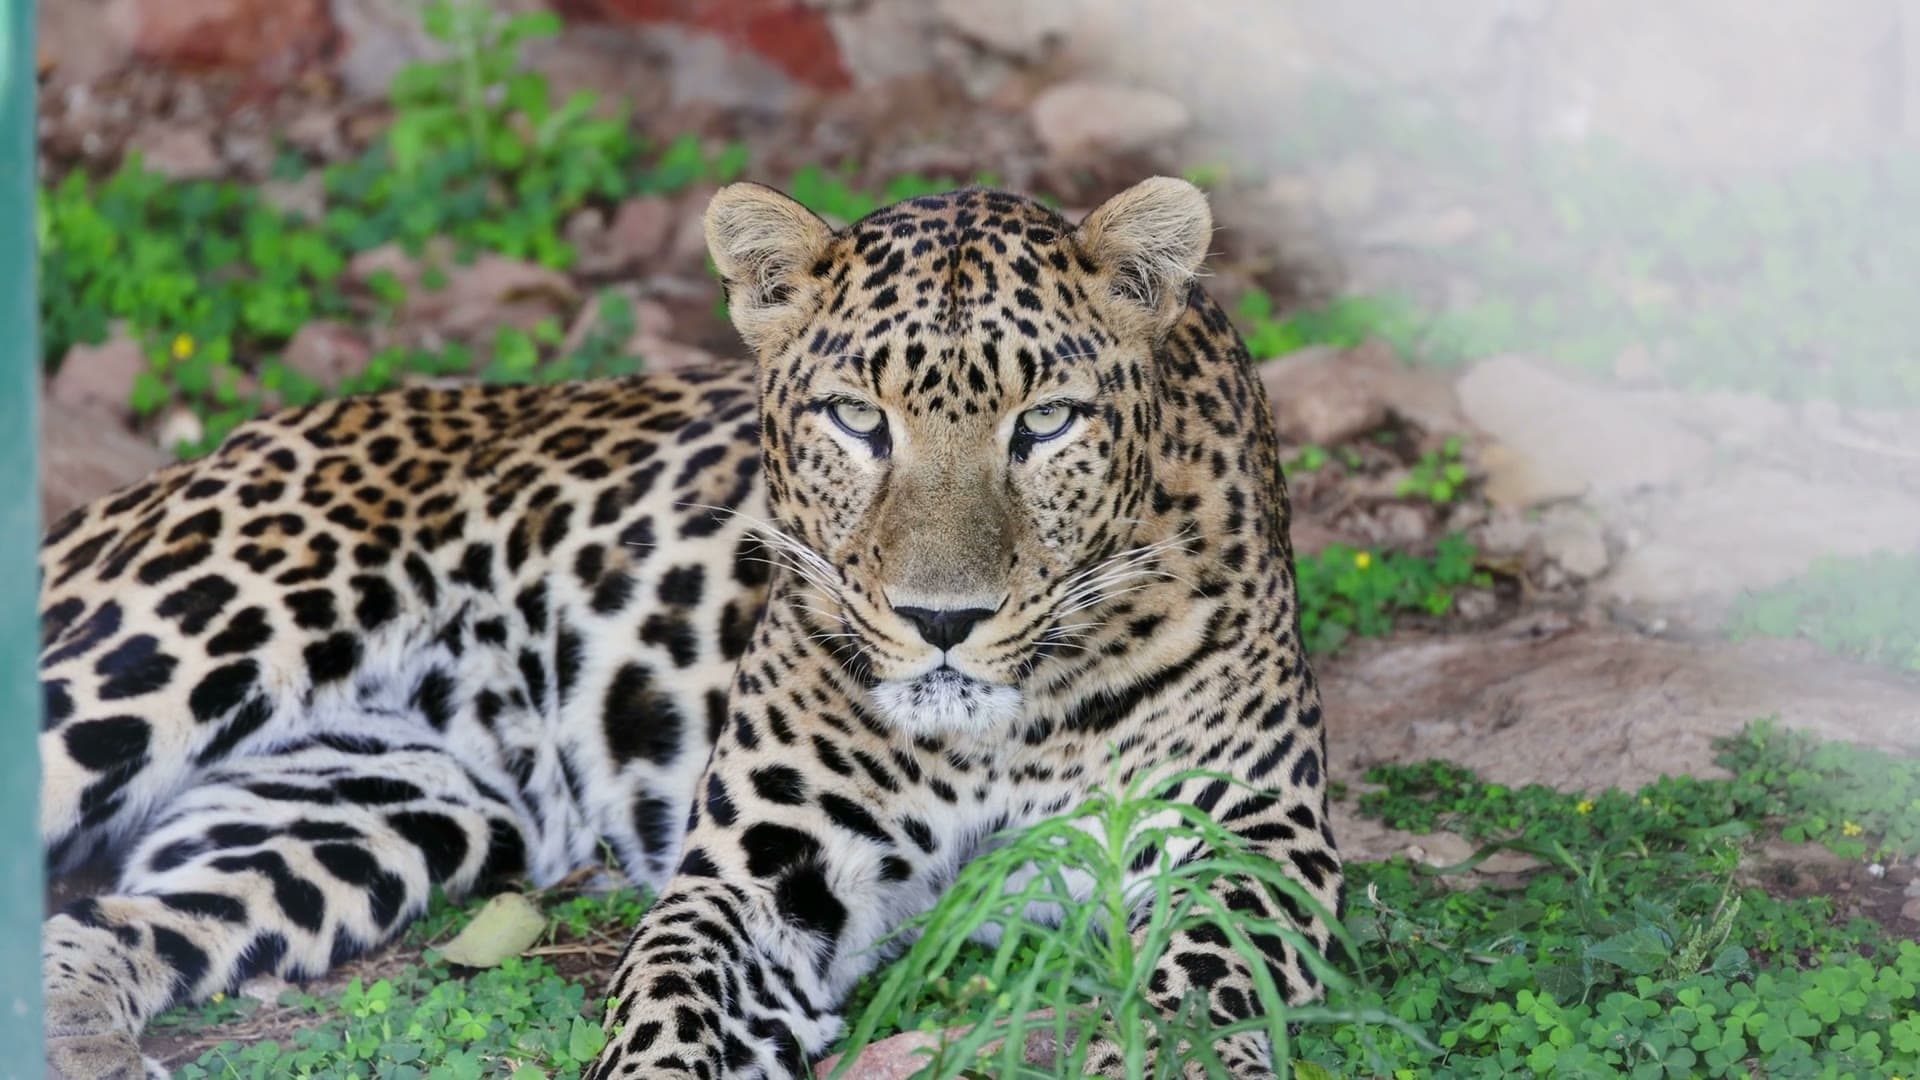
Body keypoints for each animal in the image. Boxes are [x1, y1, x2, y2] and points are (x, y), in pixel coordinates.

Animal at [36, 176, 1342, 1080]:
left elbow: (1198, 985)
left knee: (104, 916)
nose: (941, 620)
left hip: (368, 812)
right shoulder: (757, 875)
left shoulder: (1247, 842)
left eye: (1050, 421)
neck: (1000, 733)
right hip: (181, 629)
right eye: (857, 420)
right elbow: (673, 994)